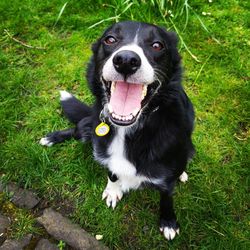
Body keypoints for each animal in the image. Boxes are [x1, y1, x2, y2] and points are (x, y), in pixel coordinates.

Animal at [39, 21, 195, 240]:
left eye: (157, 45)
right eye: (110, 39)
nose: (126, 61)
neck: (130, 130)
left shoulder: (167, 177)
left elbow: (167, 197)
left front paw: (168, 222)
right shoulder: (107, 152)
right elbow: (112, 172)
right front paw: (113, 190)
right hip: (88, 128)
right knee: (77, 127)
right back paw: (51, 138)